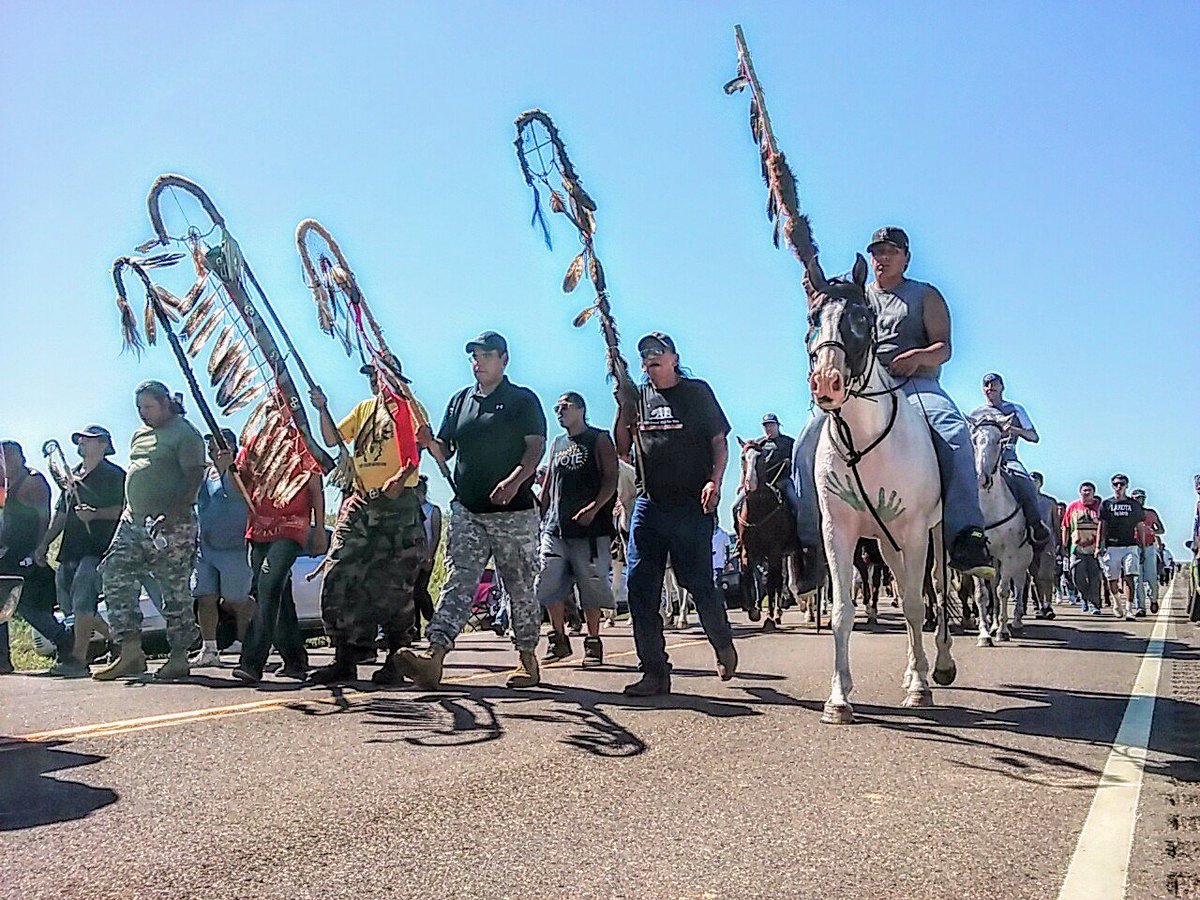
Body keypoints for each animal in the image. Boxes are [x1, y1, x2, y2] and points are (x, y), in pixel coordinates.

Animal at [806, 254, 955, 724]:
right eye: (813, 318)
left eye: (860, 317)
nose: (826, 382)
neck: (865, 440)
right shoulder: (839, 530)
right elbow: (842, 611)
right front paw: (838, 699)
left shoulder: (915, 530)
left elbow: (916, 605)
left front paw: (922, 689)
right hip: (888, 544)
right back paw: (913, 671)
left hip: (934, 535)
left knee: (934, 593)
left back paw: (937, 667)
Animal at [964, 415, 1032, 648]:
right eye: (974, 440)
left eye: (999, 441)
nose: (981, 478)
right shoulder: (977, 556)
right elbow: (982, 594)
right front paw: (985, 634)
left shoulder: (1010, 554)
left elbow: (1004, 592)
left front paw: (1003, 631)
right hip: (994, 560)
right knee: (993, 585)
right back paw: (993, 625)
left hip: (1022, 560)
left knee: (1019, 584)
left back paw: (1017, 621)